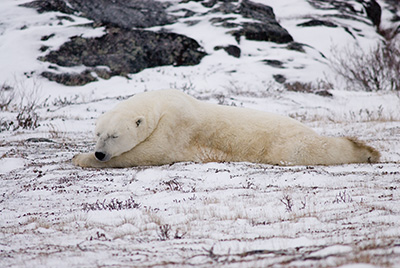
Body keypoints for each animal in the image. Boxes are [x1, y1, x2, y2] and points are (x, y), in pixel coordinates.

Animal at [72, 89, 382, 168]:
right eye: (97, 134)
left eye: (114, 135)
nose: (100, 153)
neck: (161, 103)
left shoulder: (176, 126)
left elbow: (151, 152)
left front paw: (79, 157)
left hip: (284, 142)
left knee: (309, 149)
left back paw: (366, 151)